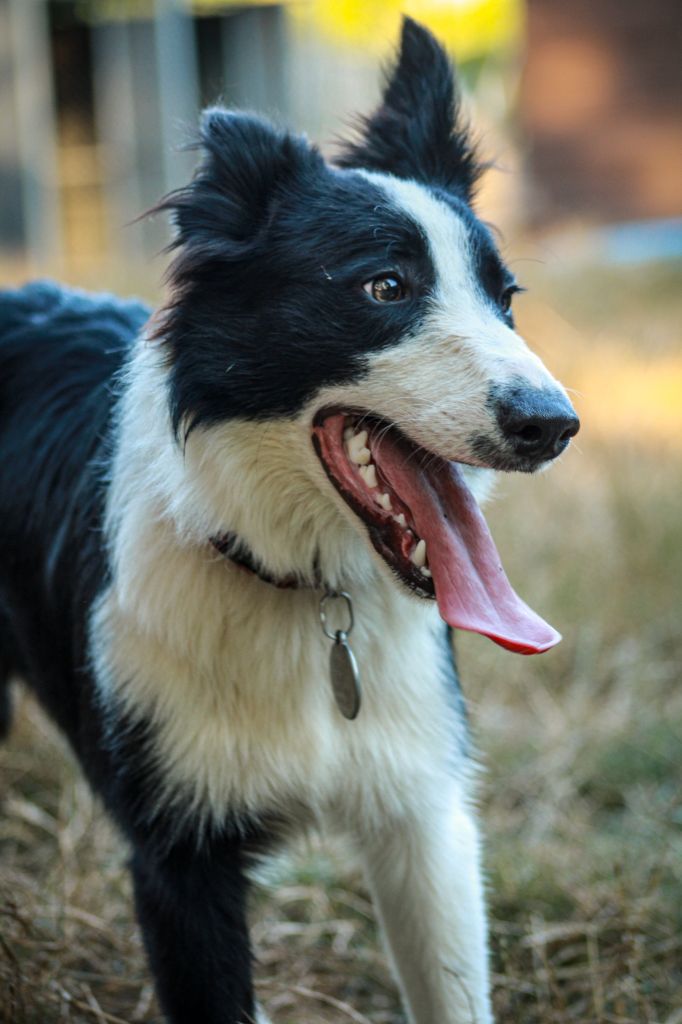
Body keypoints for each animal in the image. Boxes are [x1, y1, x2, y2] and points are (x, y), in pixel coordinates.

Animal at [0, 19, 577, 1024]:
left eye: (505, 299)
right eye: (384, 288)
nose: (555, 425)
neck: (306, 590)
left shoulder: (424, 822)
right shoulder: (178, 862)